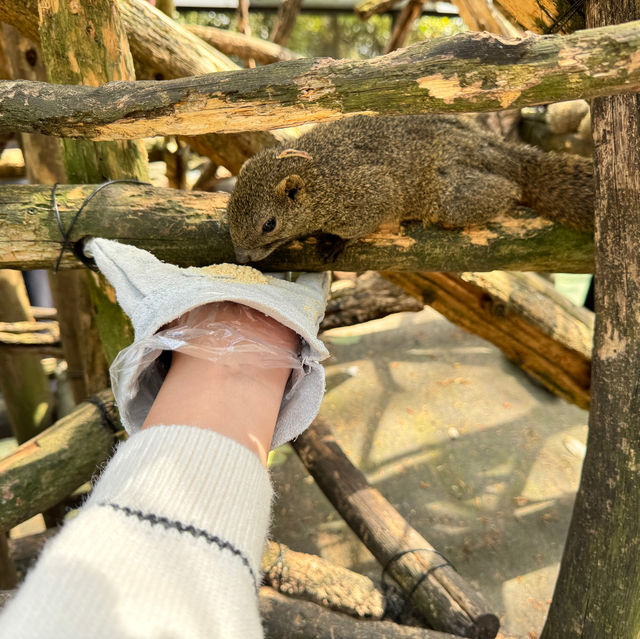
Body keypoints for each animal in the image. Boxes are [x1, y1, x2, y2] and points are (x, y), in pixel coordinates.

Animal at [228, 114, 592, 264]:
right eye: (229, 212)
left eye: (269, 224)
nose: (242, 258)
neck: (317, 178)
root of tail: (493, 146)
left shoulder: (371, 194)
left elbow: (361, 226)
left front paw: (336, 242)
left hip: (451, 198)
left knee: (509, 190)